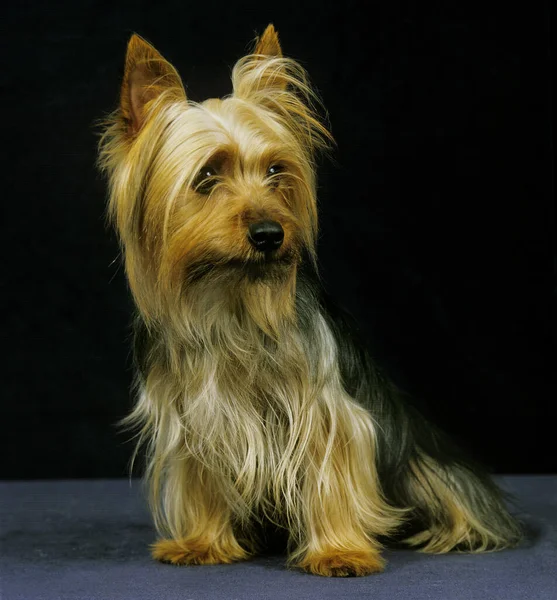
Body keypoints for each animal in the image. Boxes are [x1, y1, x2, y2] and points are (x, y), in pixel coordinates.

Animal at [97, 24, 520, 576]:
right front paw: (203, 543)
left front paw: (338, 550)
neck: (231, 299)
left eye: (276, 170)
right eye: (207, 176)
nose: (269, 234)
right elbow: (203, 478)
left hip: (425, 463)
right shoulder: (195, 417)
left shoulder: (325, 410)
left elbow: (331, 472)